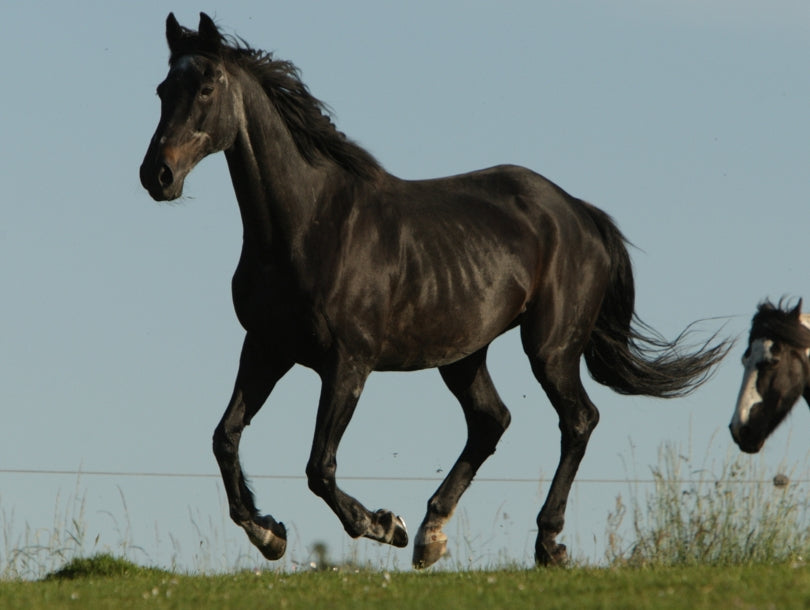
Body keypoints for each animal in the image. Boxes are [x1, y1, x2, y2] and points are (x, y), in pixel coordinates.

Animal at [140, 13, 729, 568]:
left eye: (207, 88)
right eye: (164, 89)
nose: (157, 176)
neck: (308, 226)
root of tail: (580, 212)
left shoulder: (347, 363)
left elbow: (319, 467)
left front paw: (383, 525)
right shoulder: (266, 348)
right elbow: (225, 437)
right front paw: (269, 534)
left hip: (550, 348)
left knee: (578, 420)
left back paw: (546, 544)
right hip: (463, 355)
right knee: (492, 421)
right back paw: (432, 535)